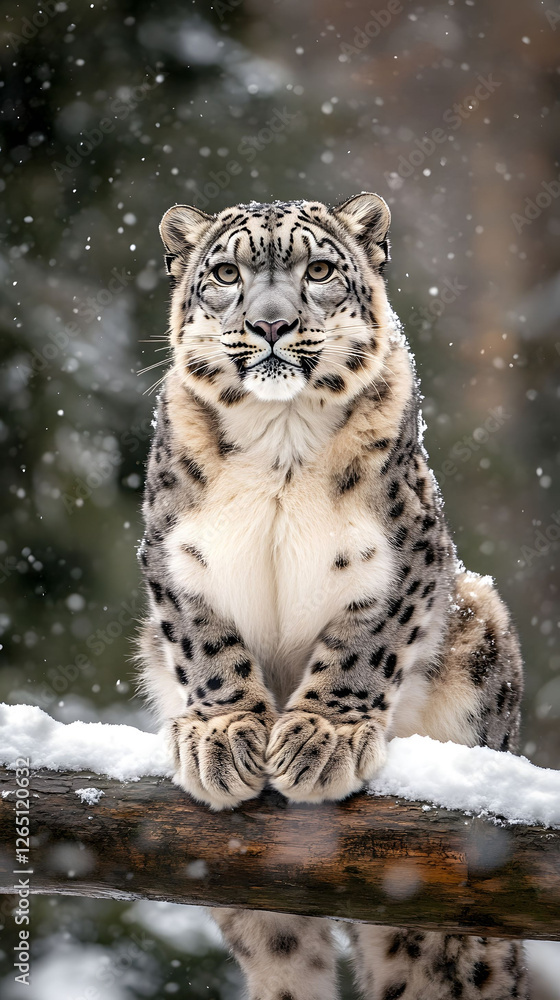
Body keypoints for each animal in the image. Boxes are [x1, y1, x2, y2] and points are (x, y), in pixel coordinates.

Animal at [137, 193, 528, 1000]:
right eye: (226, 273)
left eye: (317, 270)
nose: (272, 323)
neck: (279, 440)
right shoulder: (175, 551)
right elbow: (205, 642)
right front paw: (224, 735)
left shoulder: (401, 551)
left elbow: (364, 646)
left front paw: (322, 739)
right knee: (286, 953)